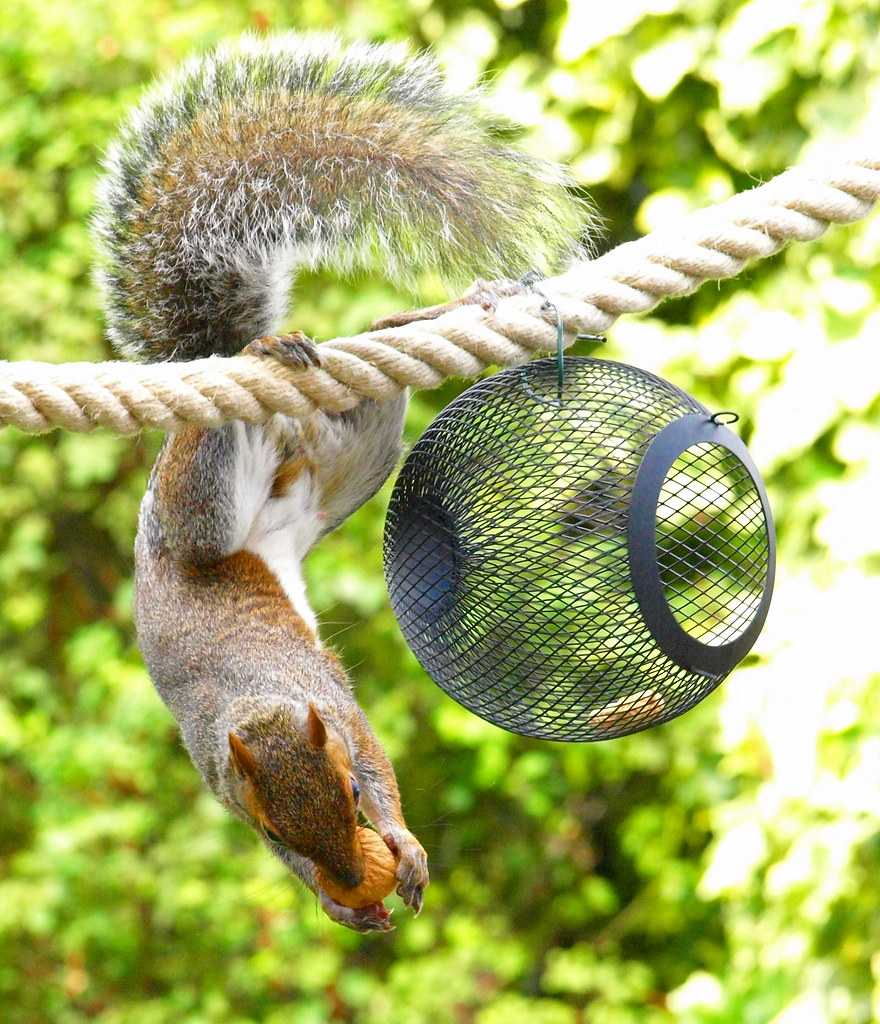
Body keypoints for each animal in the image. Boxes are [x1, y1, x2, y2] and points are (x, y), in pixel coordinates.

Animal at [91, 31, 589, 932]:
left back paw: (447, 309)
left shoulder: (339, 708)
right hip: (297, 476)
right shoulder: (226, 774)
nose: (349, 871)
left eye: (352, 794)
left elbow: (381, 758)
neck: (264, 699)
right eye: (268, 826)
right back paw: (277, 351)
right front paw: (336, 899)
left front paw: (405, 844)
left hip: (284, 480)